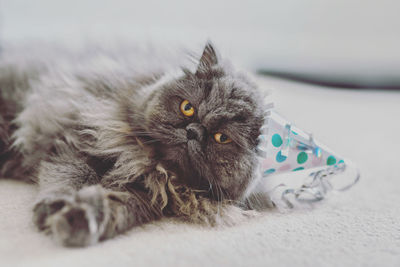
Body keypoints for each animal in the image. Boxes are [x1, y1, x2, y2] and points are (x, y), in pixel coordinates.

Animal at [1, 43, 268, 248]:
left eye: (221, 138)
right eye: (187, 108)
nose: (192, 132)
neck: (152, 167)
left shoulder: (147, 196)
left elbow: (119, 208)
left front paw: (80, 219)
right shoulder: (74, 142)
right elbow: (72, 177)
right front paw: (56, 206)